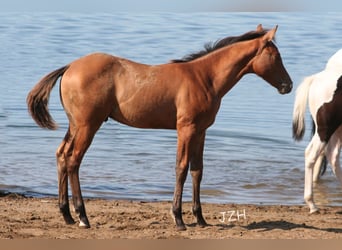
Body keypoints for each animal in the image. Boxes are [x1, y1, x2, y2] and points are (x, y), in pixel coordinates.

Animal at [28, 23, 292, 230]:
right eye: (275, 56)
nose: (288, 86)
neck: (204, 78)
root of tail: (69, 67)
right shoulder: (186, 129)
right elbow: (181, 168)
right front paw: (178, 218)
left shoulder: (201, 131)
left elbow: (198, 170)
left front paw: (200, 218)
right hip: (87, 126)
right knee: (74, 160)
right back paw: (82, 217)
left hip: (75, 125)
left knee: (62, 155)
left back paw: (67, 215)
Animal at [292, 48, 342, 213]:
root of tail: (317, 78)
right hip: (326, 128)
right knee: (312, 154)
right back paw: (312, 204)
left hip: (336, 129)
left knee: (332, 156)